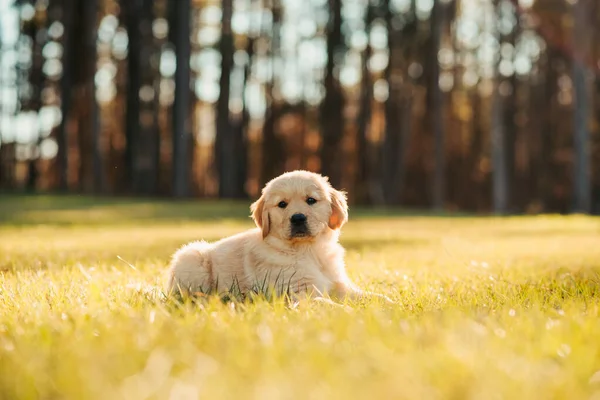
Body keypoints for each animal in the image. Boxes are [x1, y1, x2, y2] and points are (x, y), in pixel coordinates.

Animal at [166, 169, 392, 304]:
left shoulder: (339, 285)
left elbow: (367, 296)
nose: (298, 218)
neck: (309, 251)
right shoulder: (298, 292)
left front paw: (389, 304)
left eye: (311, 200)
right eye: (282, 204)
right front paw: (345, 311)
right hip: (192, 256)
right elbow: (327, 303)